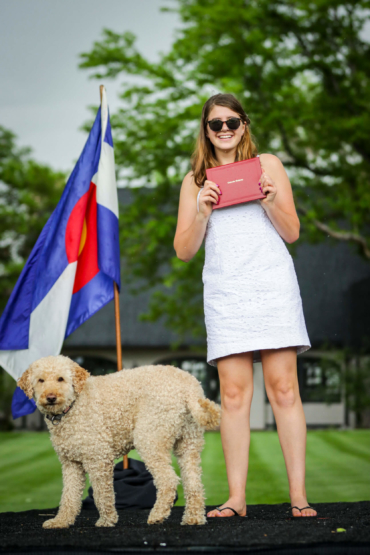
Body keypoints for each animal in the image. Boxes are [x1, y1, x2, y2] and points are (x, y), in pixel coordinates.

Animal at [18, 356, 220, 528]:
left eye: (60, 379)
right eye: (41, 380)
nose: (51, 397)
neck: (74, 405)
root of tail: (189, 386)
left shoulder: (98, 457)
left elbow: (102, 493)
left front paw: (107, 520)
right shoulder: (71, 463)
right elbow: (69, 495)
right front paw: (61, 521)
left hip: (150, 437)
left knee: (169, 480)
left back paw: (157, 515)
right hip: (188, 443)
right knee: (194, 483)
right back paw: (193, 518)